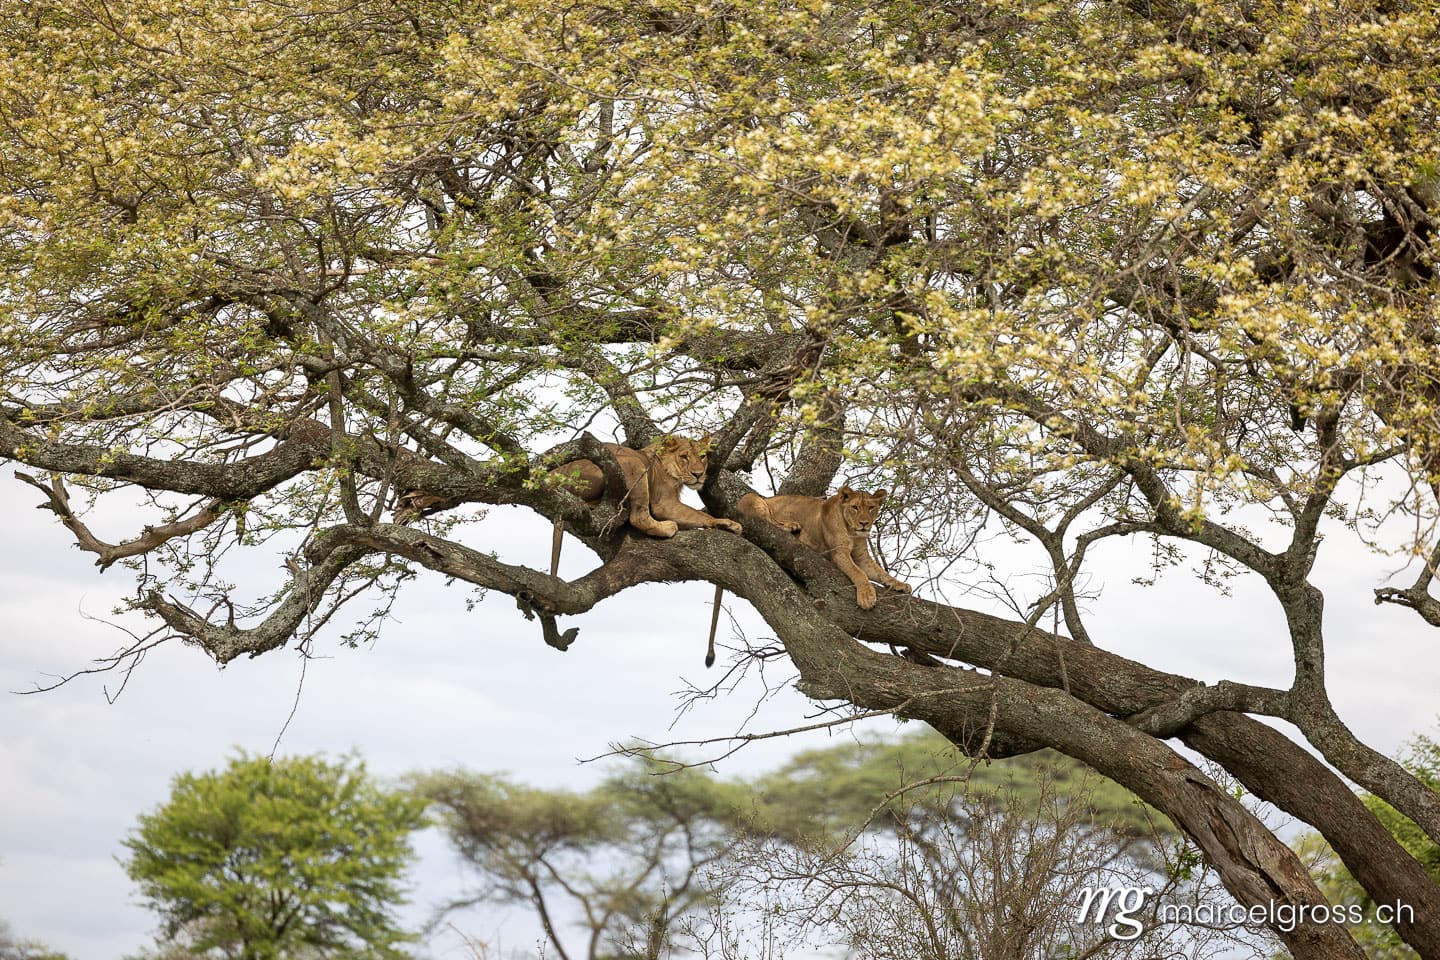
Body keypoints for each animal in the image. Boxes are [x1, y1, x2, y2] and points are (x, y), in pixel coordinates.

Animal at [549, 435, 742, 576]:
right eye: (684, 457)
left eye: (702, 457)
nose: (698, 474)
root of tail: (558, 475)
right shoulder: (664, 504)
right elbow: (698, 514)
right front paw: (726, 523)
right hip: (633, 463)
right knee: (638, 517)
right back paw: (667, 527)